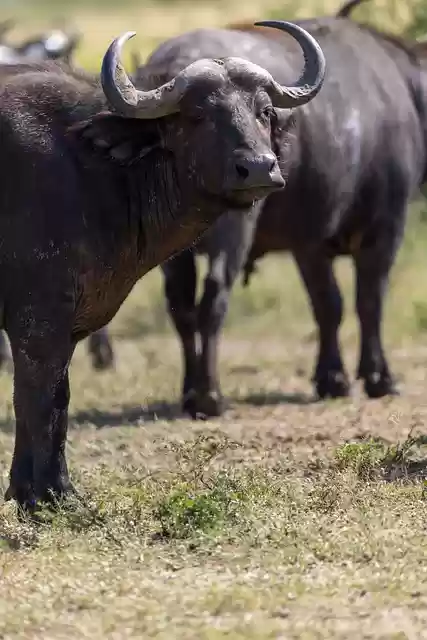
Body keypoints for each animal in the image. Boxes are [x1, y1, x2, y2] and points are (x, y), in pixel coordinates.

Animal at [0, 22, 325, 510]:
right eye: (198, 115)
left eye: (264, 111)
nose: (258, 168)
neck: (92, 169)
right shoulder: (37, 324)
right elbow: (35, 400)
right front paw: (39, 498)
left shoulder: (66, 327)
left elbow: (58, 400)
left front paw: (53, 491)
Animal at [136, 8, 427, 418]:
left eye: (267, 112)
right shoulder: (383, 227)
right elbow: (364, 303)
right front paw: (374, 378)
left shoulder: (308, 243)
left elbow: (326, 305)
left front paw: (331, 378)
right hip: (233, 230)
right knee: (213, 297)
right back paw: (211, 396)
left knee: (181, 304)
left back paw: (191, 393)